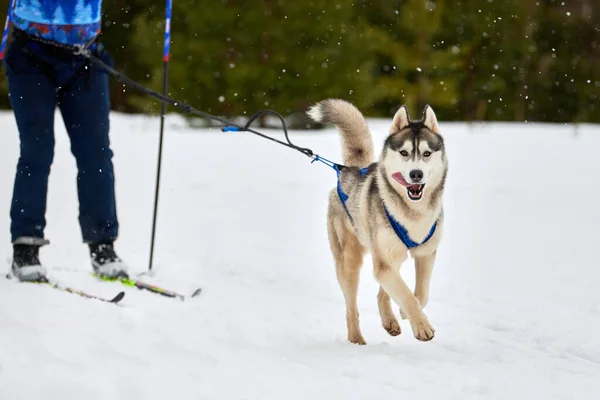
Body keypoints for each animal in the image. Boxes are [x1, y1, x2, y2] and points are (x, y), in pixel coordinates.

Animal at [310, 99, 446, 344]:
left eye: (427, 153)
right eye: (404, 152)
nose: (416, 174)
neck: (413, 212)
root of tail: (351, 170)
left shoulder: (426, 252)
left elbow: (420, 293)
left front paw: (405, 312)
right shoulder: (384, 261)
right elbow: (406, 294)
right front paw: (421, 326)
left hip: (391, 253)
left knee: (384, 288)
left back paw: (390, 319)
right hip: (350, 261)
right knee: (351, 307)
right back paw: (356, 339)